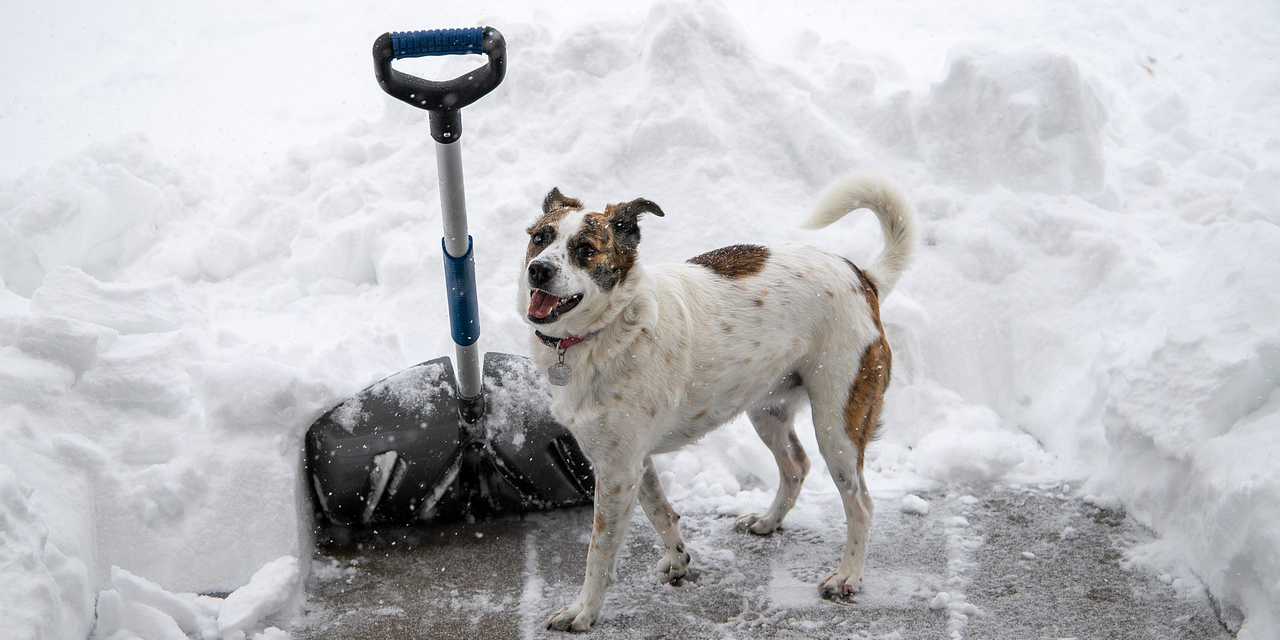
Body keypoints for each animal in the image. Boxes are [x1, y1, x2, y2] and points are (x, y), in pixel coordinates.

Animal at [519, 175, 921, 629]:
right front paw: (678, 560)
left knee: (861, 504)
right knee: (796, 465)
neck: (608, 329)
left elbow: (599, 552)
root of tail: (863, 276)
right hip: (767, 409)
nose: (538, 269)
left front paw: (584, 611)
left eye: (586, 249)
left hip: (838, 423)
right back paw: (768, 521)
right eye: (540, 238)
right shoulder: (631, 461)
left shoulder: (618, 470)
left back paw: (847, 575)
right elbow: (660, 511)